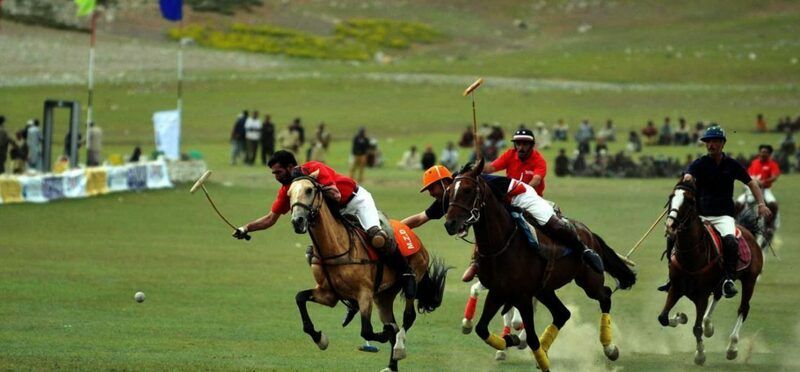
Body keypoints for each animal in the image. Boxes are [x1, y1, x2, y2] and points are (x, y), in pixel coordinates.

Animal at [288, 174, 450, 372]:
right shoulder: (328, 294)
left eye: (309, 190)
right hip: (384, 295)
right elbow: (299, 297)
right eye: (288, 194)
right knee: (393, 322)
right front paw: (320, 338)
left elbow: (367, 330)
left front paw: (385, 334)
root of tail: (410, 233)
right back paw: (392, 365)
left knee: (408, 314)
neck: (334, 248)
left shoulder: (364, 293)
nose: (297, 221)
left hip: (414, 274)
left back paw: (399, 347)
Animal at [440, 161, 636, 372]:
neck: (503, 243)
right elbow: (481, 329)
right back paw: (542, 348)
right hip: (545, 290)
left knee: (605, 296)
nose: (450, 224)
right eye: (449, 191)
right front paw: (510, 341)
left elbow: (531, 337)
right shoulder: (498, 291)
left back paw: (609, 348)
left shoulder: (522, 296)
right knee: (562, 314)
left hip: (589, 281)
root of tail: (589, 232)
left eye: (468, 190)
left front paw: (528, 350)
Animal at [660, 180, 764, 366]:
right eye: (671, 197)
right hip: (720, 282)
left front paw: (700, 355)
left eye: (689, 201)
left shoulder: (701, 295)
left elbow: (696, 328)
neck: (691, 255)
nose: (670, 226)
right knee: (718, 295)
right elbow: (663, 318)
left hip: (750, 280)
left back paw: (732, 348)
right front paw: (681, 317)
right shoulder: (676, 288)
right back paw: (709, 326)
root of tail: (747, 231)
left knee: (743, 309)